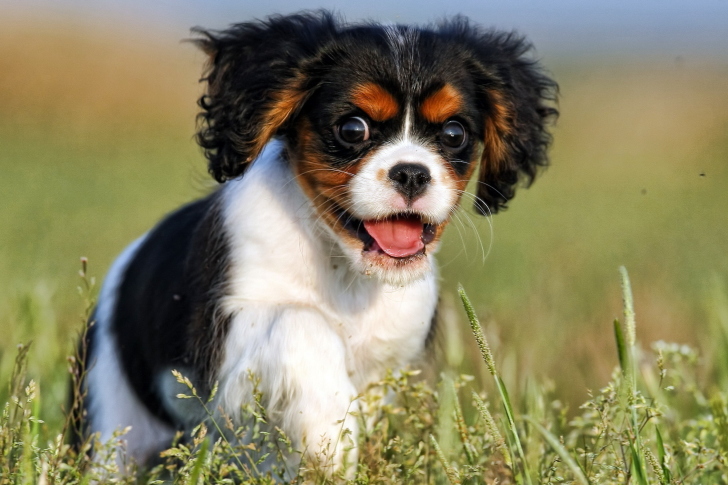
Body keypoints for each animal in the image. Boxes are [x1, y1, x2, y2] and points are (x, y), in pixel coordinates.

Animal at [77, 10, 556, 476]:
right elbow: (301, 320)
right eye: (353, 128)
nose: (412, 173)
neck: (344, 267)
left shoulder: (394, 356)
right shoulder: (217, 340)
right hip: (110, 421)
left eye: (455, 134)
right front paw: (327, 436)